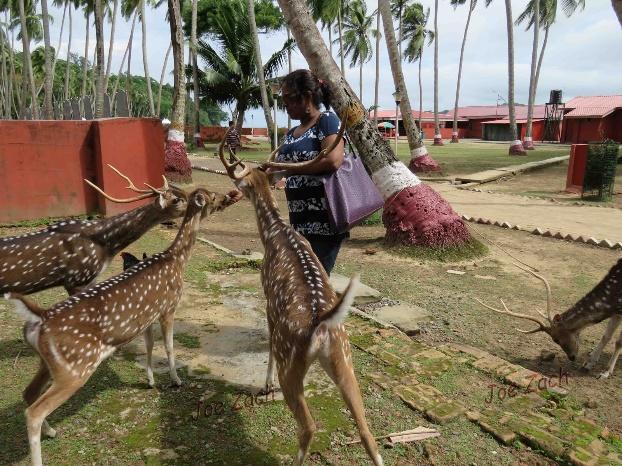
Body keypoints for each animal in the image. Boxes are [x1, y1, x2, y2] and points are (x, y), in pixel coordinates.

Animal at [5, 187, 231, 466]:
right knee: (34, 412)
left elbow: (149, 346)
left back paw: (52, 430)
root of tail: (40, 317)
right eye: (212, 196)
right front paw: (176, 380)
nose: (228, 196)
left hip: (48, 363)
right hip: (75, 369)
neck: (176, 260)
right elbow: (168, 346)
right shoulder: (168, 307)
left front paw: (150, 381)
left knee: (28, 394)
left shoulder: (147, 317)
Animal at [217, 126, 384, 466]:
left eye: (243, 183)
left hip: (291, 361)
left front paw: (264, 384)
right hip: (344, 357)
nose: (231, 195)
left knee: (308, 426)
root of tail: (321, 325)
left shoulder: (268, 299)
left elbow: (267, 341)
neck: (274, 234)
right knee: (367, 431)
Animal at [476, 259, 622, 379]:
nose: (572, 357)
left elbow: (618, 342)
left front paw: (605, 373)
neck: (614, 297)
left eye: (556, 339)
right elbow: (606, 336)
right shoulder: (616, 312)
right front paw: (588, 365)